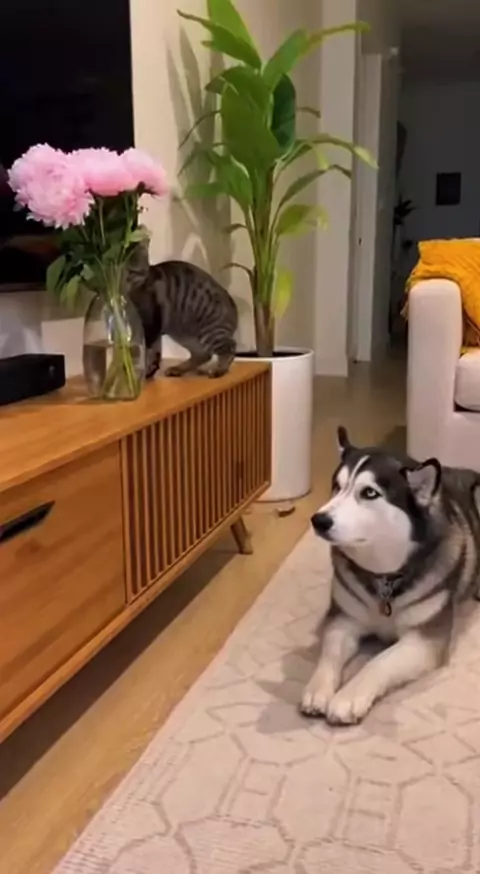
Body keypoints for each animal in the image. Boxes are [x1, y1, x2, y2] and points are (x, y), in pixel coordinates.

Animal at [126, 243, 238, 379]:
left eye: (131, 271)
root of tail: (232, 302)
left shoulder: (151, 323)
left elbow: (148, 352)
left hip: (210, 330)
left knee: (230, 346)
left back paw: (219, 369)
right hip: (182, 332)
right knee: (204, 354)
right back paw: (179, 368)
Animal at [301, 426, 480, 725]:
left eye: (369, 493)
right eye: (337, 486)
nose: (319, 520)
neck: (384, 577)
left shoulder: (423, 641)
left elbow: (380, 661)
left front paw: (348, 697)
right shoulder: (344, 620)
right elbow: (329, 653)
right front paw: (318, 689)